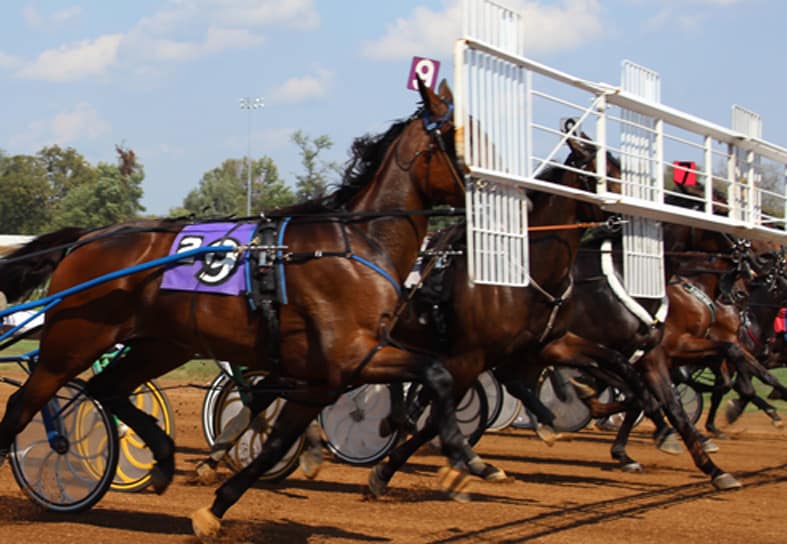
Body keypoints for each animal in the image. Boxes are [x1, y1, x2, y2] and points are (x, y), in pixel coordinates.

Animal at [0, 79, 474, 540]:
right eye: (461, 140)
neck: (355, 245)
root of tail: (87, 237)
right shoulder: (354, 356)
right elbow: (437, 372)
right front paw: (463, 455)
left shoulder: (323, 378)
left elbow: (276, 444)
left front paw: (213, 509)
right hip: (71, 343)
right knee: (23, 404)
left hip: (161, 345)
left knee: (106, 388)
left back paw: (164, 460)